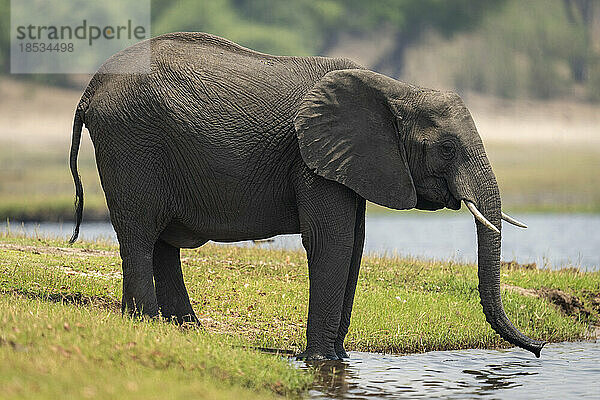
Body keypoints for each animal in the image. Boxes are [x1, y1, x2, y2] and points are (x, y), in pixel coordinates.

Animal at [68, 32, 548, 360]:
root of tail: (91, 88)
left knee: (161, 241)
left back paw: (186, 331)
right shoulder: (310, 157)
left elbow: (354, 244)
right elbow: (331, 243)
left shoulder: (350, 161)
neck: (395, 88)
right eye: (446, 149)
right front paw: (318, 360)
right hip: (131, 142)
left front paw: (339, 359)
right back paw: (146, 324)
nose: (540, 349)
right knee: (140, 233)